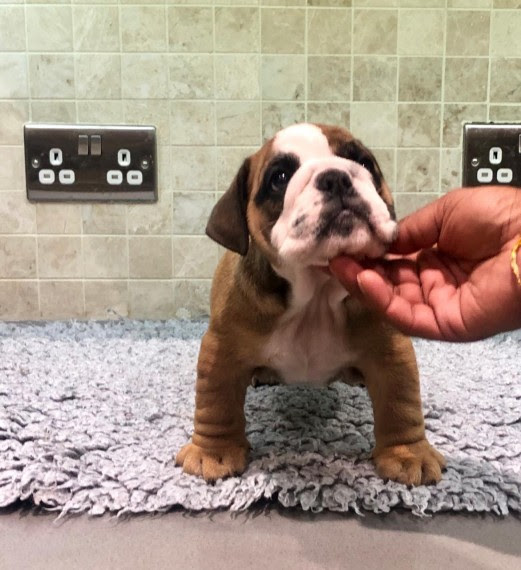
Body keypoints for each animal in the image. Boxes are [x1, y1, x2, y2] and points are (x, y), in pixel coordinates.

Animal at [177, 124, 444, 484]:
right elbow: (215, 403)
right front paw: (213, 452)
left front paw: (408, 454)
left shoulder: (392, 350)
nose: (336, 177)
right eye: (280, 177)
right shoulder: (221, 349)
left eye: (362, 162)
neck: (317, 292)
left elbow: (401, 402)